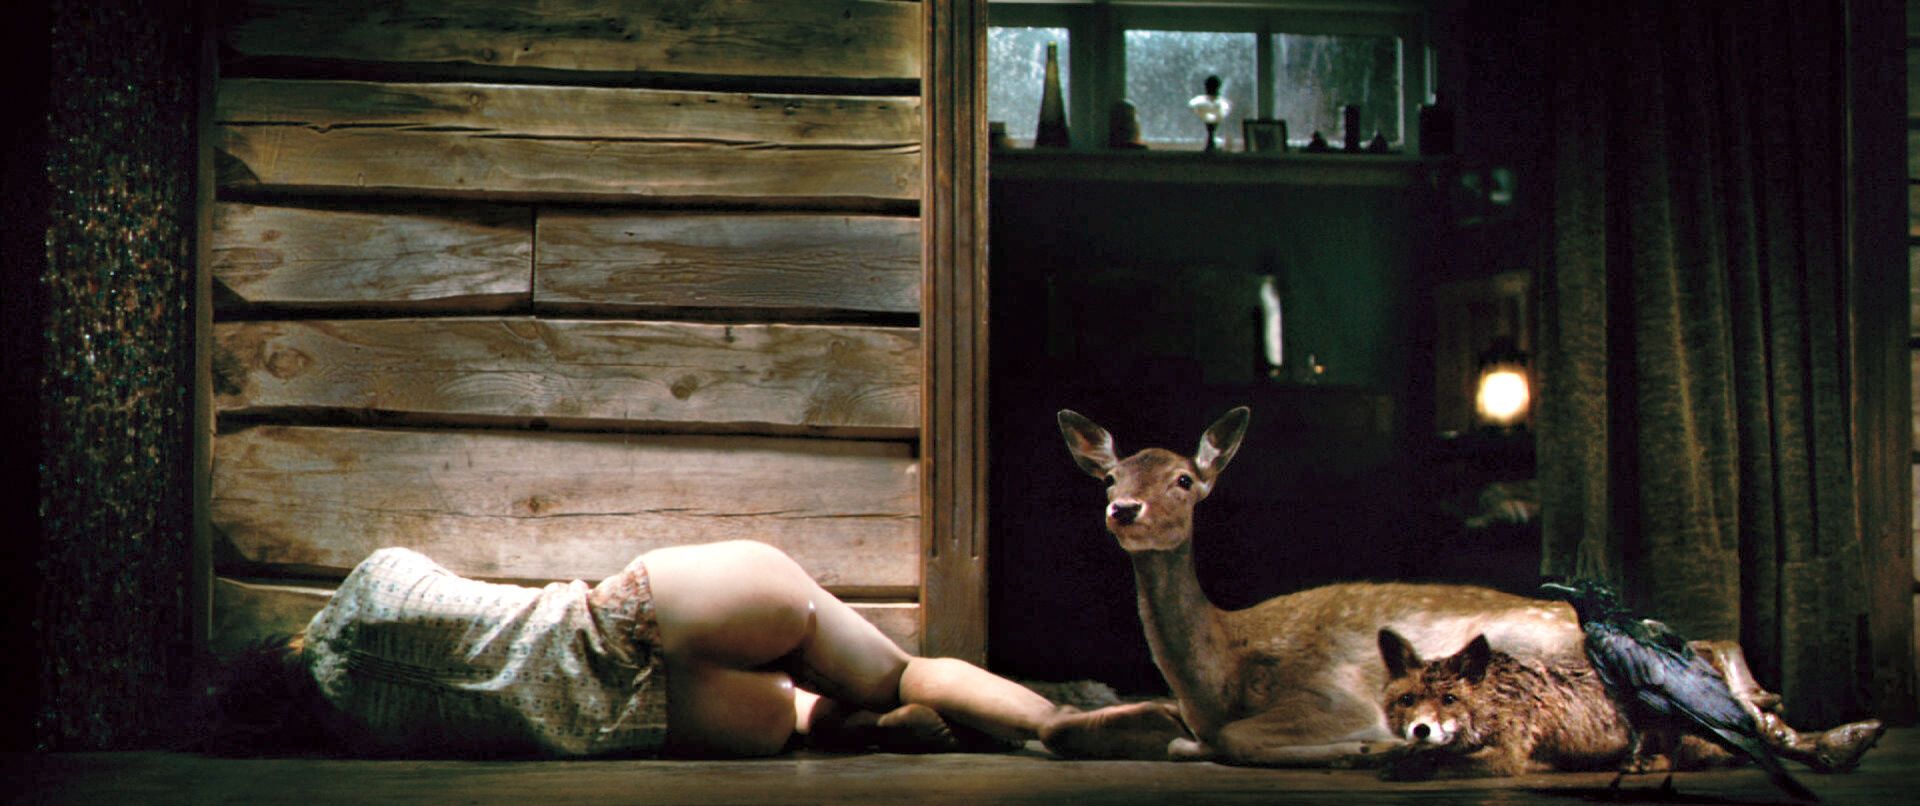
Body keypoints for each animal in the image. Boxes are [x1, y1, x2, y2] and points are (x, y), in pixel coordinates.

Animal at [1037, 406, 1591, 766]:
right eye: (1110, 478)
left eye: (1183, 480)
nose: (1124, 509)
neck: (1221, 679)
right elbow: (1060, 726)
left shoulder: (1335, 694)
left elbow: (1236, 739)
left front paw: (1366, 746)